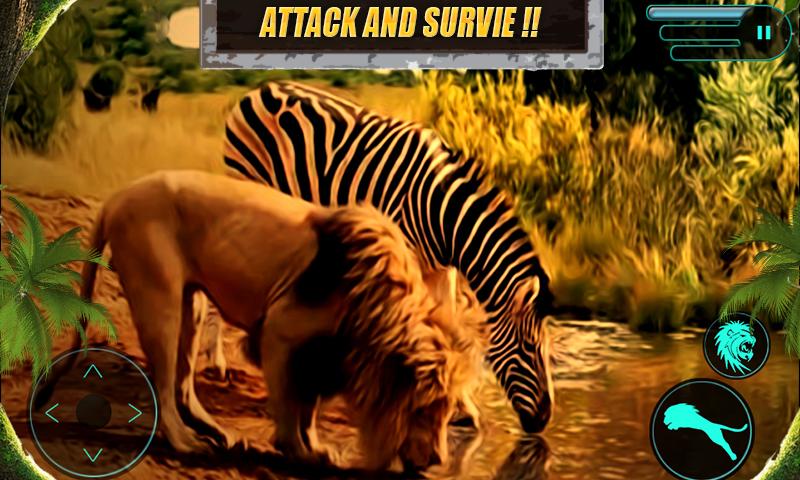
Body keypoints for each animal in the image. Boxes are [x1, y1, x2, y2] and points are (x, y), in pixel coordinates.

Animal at [40, 170, 485, 472]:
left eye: (449, 411)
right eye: (426, 409)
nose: (438, 460)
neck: (380, 309)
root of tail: (116, 198)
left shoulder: (324, 353)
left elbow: (309, 406)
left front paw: (315, 447)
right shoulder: (280, 331)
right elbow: (290, 403)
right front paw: (299, 451)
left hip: (191, 302)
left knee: (183, 386)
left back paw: (220, 434)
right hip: (159, 295)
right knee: (164, 388)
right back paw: (186, 443)